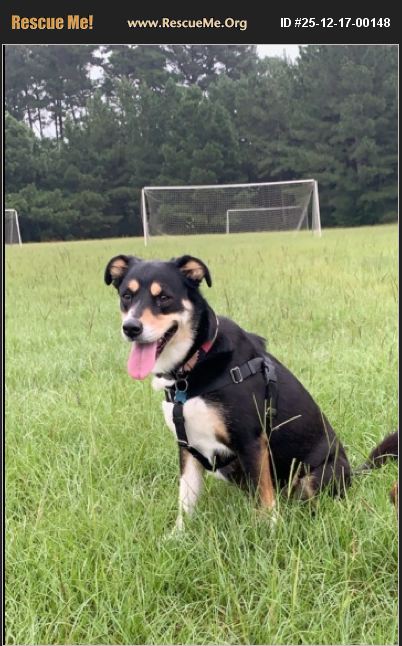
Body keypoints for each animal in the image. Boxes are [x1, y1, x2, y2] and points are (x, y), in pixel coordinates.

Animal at [104, 254, 397, 530]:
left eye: (164, 297)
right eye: (127, 296)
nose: (131, 328)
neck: (193, 365)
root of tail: (353, 474)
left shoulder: (251, 441)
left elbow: (264, 499)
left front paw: (269, 534)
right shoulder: (187, 446)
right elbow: (186, 501)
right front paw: (178, 536)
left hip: (314, 476)